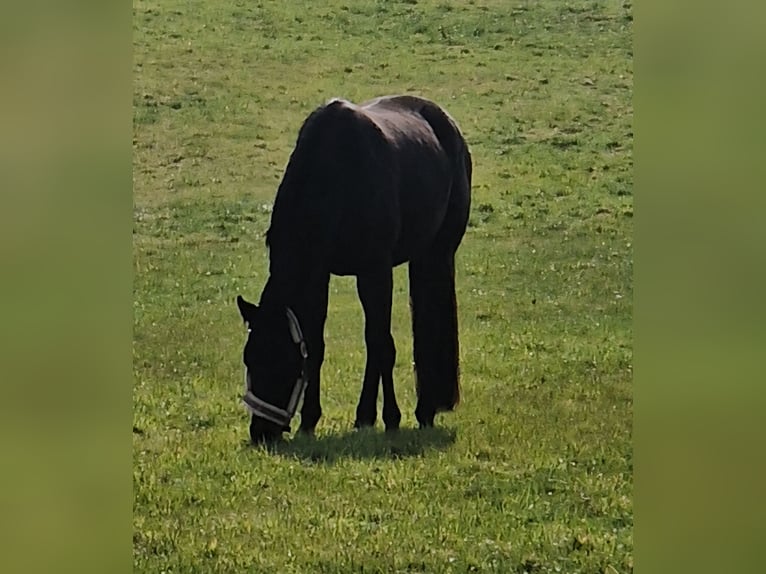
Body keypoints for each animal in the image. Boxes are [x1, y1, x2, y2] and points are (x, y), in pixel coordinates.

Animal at [236, 95, 472, 443]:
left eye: (279, 360)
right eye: (249, 357)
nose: (261, 432)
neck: (337, 174)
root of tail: (449, 125)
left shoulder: (375, 271)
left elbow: (381, 344)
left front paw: (391, 418)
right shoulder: (319, 274)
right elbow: (317, 345)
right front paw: (310, 421)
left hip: (436, 254)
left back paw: (422, 411)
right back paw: (367, 417)